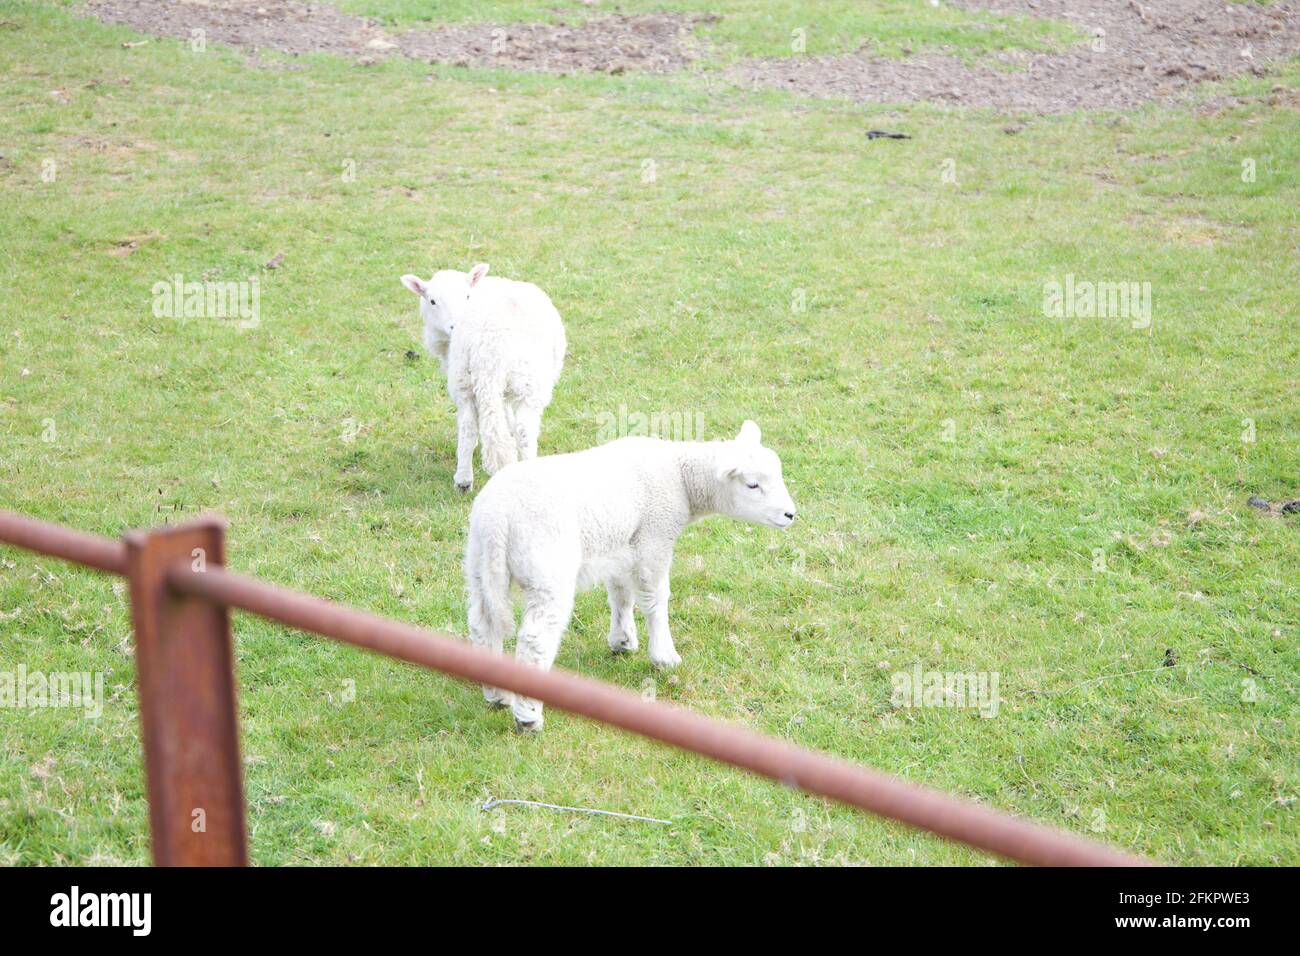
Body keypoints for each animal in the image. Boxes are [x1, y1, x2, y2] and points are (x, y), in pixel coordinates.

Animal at [397, 265, 566, 496]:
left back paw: (464, 481)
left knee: (469, 428)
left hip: (467, 380)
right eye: (432, 301)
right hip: (526, 380)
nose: (453, 326)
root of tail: (490, 345)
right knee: (520, 430)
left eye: (467, 296)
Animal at [462, 421, 795, 733]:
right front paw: (664, 656)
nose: (791, 514)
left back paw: (497, 696)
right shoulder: (653, 539)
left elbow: (621, 594)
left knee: (482, 625)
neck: (681, 479)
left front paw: (622, 640)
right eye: (752, 485)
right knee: (535, 639)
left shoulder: (623, 545)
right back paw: (528, 716)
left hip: (479, 565)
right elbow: (655, 599)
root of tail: (497, 520)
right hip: (546, 569)